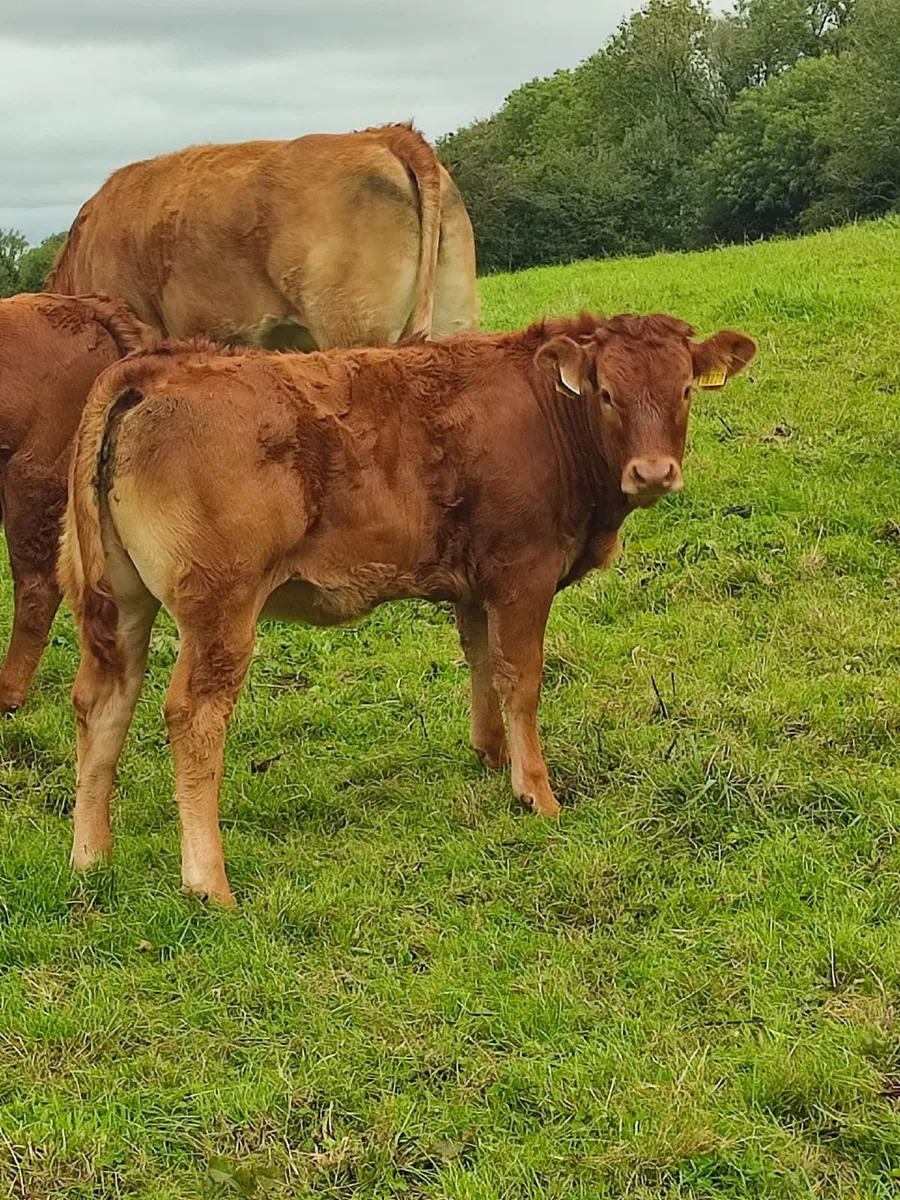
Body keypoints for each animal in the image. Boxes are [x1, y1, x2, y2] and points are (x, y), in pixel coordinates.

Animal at [60, 314, 756, 906]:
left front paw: (493, 758)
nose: (653, 472)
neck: (543, 411)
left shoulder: (477, 584)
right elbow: (521, 679)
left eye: (685, 390)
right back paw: (208, 881)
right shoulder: (522, 572)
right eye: (607, 393)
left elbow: (483, 664)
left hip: (120, 602)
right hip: (220, 607)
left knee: (103, 702)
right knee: (194, 715)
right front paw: (537, 792)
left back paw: (91, 858)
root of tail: (161, 365)